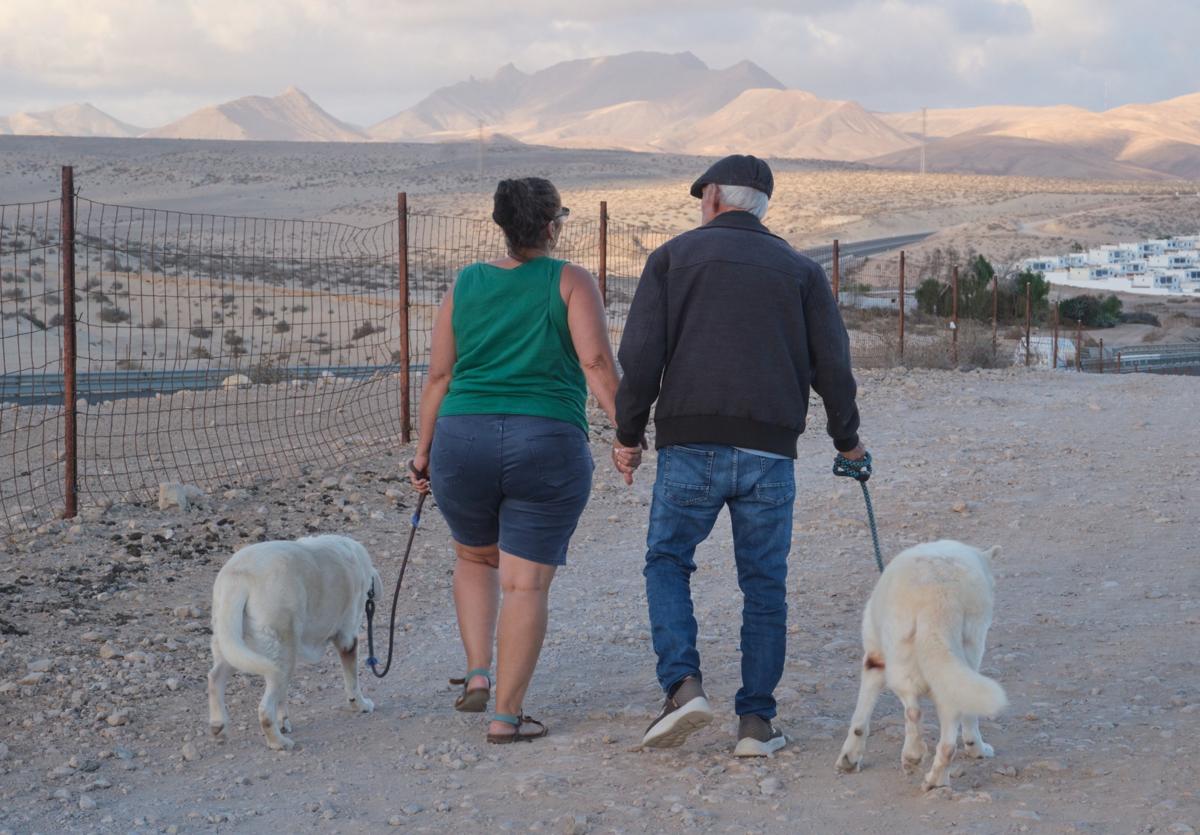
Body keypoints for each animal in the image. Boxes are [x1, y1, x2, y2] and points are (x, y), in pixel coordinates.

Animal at [206, 535, 381, 748]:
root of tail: (239, 578)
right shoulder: (347, 638)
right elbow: (352, 681)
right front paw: (361, 705)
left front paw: (283, 720)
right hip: (282, 652)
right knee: (265, 708)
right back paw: (279, 742)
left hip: (233, 639)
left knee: (215, 678)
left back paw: (218, 725)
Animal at [835, 542, 1003, 787]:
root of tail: (941, 597)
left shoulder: (874, 661)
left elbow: (860, 719)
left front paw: (849, 758)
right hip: (962, 657)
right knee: (949, 737)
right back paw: (936, 780)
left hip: (899, 663)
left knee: (913, 710)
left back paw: (912, 755)